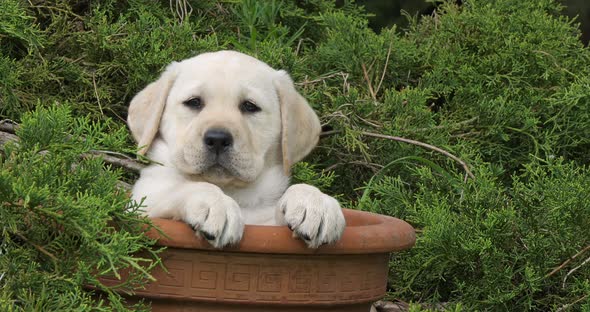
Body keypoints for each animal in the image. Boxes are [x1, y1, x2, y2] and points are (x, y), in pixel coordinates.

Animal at [127, 50, 344, 249]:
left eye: (250, 106)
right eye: (194, 102)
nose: (217, 139)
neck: (233, 191)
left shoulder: (266, 224)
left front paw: (315, 202)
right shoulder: (143, 204)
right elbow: (184, 188)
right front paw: (216, 204)